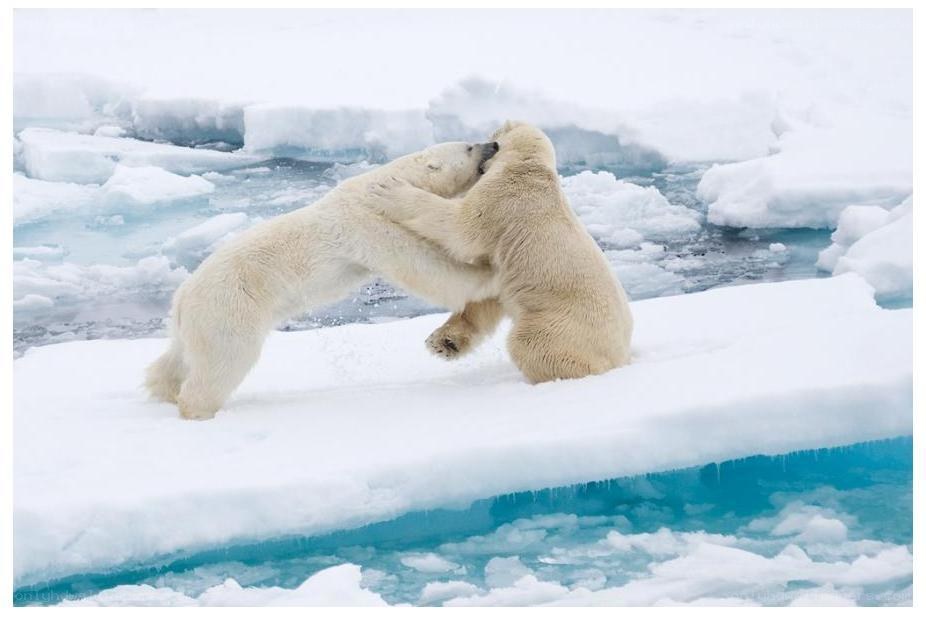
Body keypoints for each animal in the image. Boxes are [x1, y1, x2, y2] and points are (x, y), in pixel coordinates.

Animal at [145, 140, 500, 419]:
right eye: (469, 147)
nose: (494, 145)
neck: (380, 181)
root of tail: (182, 298)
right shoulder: (368, 223)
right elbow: (422, 265)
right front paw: (487, 274)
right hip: (229, 308)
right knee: (224, 361)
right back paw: (198, 409)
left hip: (195, 322)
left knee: (177, 359)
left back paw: (161, 389)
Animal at [366, 121, 633, 383]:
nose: (490, 144)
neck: (528, 164)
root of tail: (621, 355)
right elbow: (486, 296)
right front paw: (443, 342)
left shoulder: (506, 198)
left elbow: (461, 226)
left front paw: (389, 190)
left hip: (563, 322)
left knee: (531, 344)